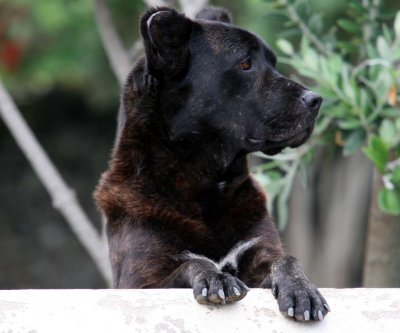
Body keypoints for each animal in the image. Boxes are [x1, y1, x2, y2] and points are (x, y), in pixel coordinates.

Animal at [95, 6, 330, 320]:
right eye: (245, 64)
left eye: (273, 63)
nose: (315, 100)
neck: (206, 187)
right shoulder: (139, 283)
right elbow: (191, 263)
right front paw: (215, 277)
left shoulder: (259, 252)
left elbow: (287, 260)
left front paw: (302, 290)